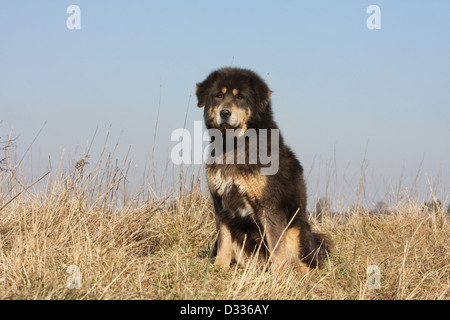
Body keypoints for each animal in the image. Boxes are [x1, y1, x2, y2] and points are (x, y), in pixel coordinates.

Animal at [196, 68, 330, 272]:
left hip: (296, 229)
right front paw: (219, 267)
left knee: (303, 262)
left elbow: (276, 246)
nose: (224, 113)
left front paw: (278, 275)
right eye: (218, 95)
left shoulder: (270, 205)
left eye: (240, 97)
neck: (233, 145)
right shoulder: (220, 204)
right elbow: (224, 241)